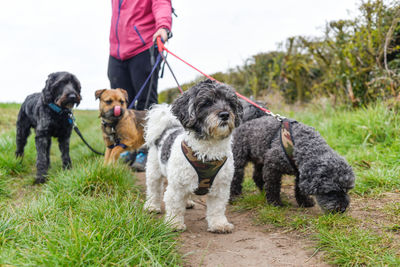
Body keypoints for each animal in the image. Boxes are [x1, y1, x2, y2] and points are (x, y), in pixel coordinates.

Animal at [145, 79, 242, 232]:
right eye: (207, 103)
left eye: (230, 102)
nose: (225, 114)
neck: (207, 153)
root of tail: (167, 129)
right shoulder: (176, 186)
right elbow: (175, 206)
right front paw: (174, 223)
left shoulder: (221, 187)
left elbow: (217, 208)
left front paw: (219, 224)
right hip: (154, 170)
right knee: (153, 189)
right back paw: (152, 206)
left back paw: (188, 202)